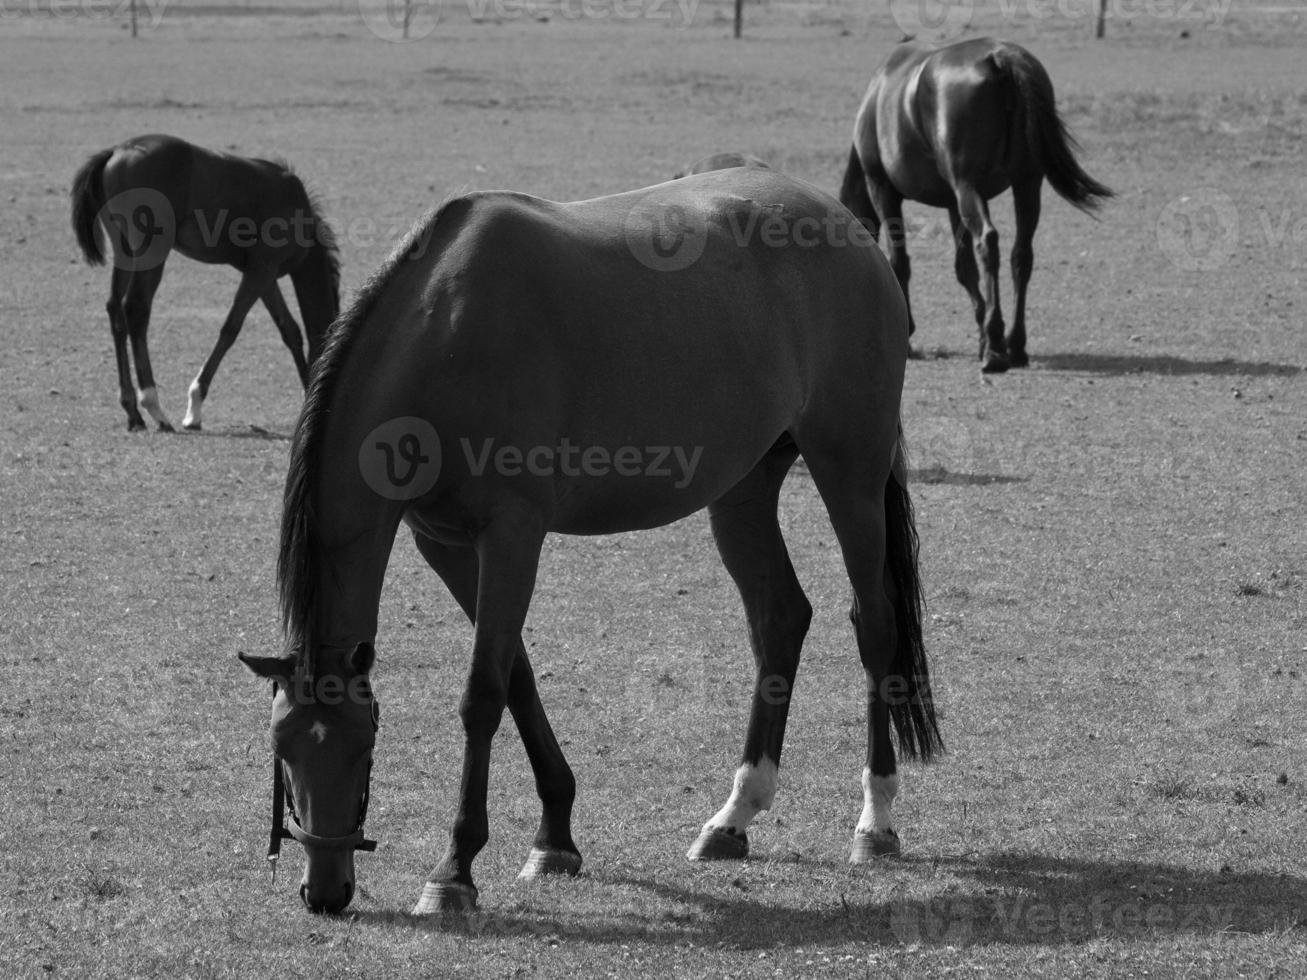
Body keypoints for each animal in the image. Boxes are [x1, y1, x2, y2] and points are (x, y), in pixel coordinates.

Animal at [70, 133, 339, 428]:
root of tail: (118, 151)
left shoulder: (265, 276)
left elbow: (289, 330)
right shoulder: (261, 271)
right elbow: (230, 328)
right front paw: (194, 407)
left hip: (125, 251)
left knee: (115, 309)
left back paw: (133, 412)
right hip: (152, 254)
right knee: (136, 309)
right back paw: (154, 407)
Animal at [240, 167, 941, 914]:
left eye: (361, 747)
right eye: (285, 750)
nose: (324, 890)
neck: (445, 336)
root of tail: (843, 225)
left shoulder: (511, 536)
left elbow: (483, 693)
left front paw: (454, 870)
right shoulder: (445, 545)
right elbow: (517, 677)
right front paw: (554, 836)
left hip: (849, 472)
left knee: (874, 625)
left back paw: (875, 822)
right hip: (744, 490)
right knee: (780, 618)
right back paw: (733, 817)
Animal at [836, 37, 1113, 371]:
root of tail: (1000, 57)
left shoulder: (884, 190)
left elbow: (900, 261)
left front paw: (912, 336)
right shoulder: (954, 204)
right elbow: (964, 267)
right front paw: (981, 331)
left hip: (969, 187)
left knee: (988, 242)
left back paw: (995, 347)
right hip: (1025, 185)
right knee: (1021, 255)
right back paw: (1014, 345)